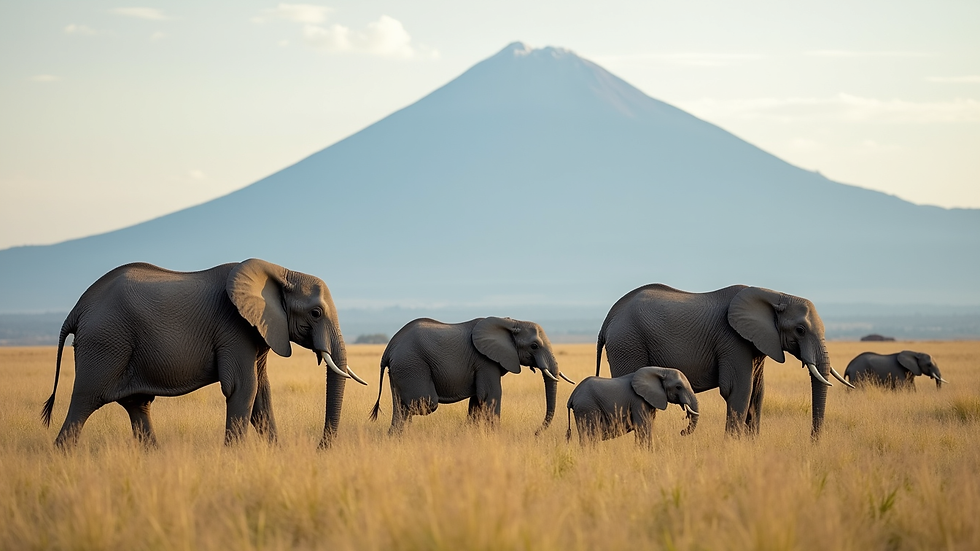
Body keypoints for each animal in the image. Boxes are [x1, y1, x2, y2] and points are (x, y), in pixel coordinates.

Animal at [41, 259, 367, 449]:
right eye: (316, 313)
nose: (321, 448)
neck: (279, 271)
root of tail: (77, 310)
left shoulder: (260, 329)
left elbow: (262, 394)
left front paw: (275, 456)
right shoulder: (234, 328)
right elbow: (243, 388)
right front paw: (235, 460)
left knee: (137, 405)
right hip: (105, 344)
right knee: (84, 401)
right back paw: (62, 456)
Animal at [369, 316, 575, 433]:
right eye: (534, 346)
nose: (536, 433)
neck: (512, 322)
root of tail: (389, 348)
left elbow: (477, 399)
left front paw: (470, 433)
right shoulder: (485, 360)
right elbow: (491, 395)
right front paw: (495, 436)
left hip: (400, 369)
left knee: (401, 405)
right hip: (411, 364)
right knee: (424, 403)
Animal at [566, 366, 700, 446]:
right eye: (678, 387)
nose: (682, 431)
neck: (661, 370)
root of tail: (572, 395)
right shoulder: (638, 401)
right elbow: (643, 427)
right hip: (587, 407)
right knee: (590, 436)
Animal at [596, 284, 853, 439]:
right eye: (800, 330)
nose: (813, 442)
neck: (774, 295)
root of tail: (608, 319)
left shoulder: (757, 344)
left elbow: (757, 393)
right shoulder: (732, 341)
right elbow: (738, 390)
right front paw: (733, 447)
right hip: (628, 343)